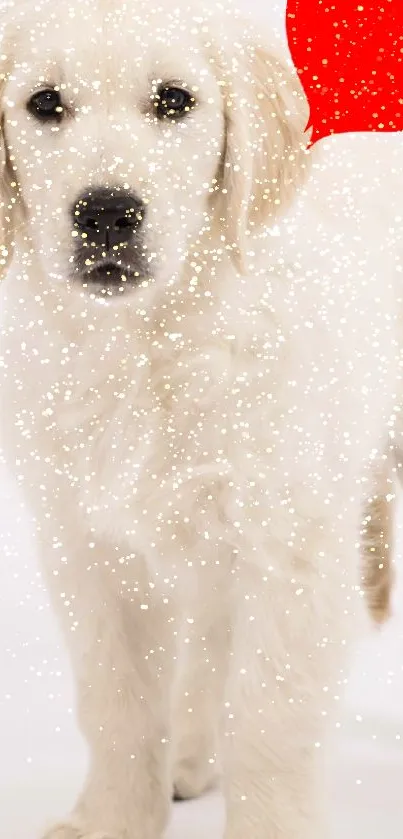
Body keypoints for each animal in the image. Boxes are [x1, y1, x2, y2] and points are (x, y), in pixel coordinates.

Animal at [0, 1, 400, 839]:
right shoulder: (84, 543)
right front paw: (113, 819)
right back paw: (187, 754)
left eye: (174, 101)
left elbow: (269, 716)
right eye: (45, 103)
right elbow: (116, 701)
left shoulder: (292, 545)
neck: (152, 340)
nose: (107, 212)